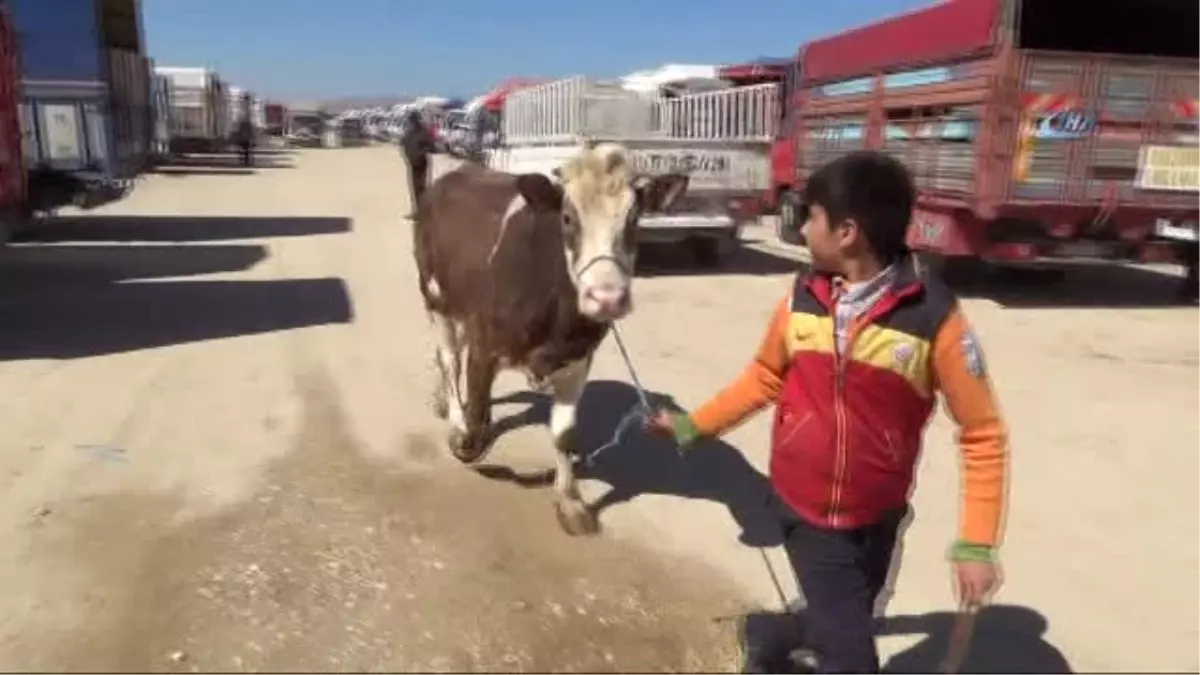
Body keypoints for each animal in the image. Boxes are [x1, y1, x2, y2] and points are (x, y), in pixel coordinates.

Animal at [412, 144, 691, 533]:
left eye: (633, 219)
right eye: (568, 218)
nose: (607, 298)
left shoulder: (578, 360)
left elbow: (564, 434)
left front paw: (570, 501)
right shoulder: (484, 346)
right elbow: (473, 405)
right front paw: (466, 437)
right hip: (437, 299)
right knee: (450, 360)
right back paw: (454, 413)